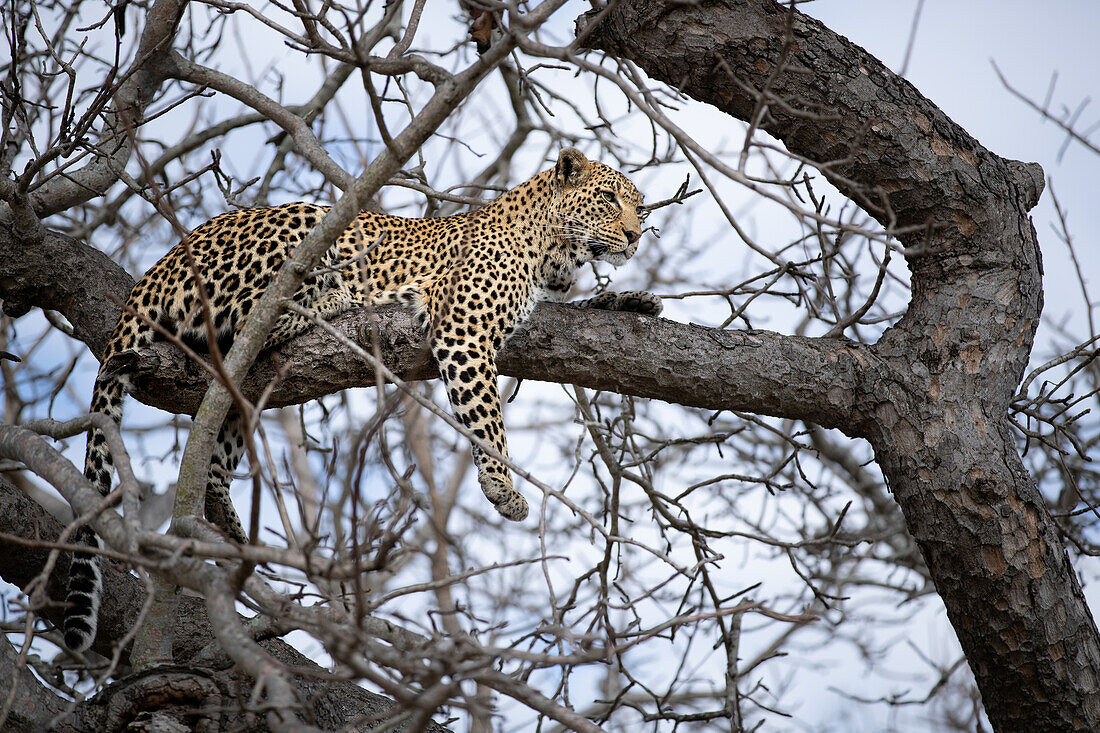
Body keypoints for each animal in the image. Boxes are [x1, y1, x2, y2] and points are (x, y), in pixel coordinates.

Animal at [66, 145, 660, 647]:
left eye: (640, 205)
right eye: (609, 200)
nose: (635, 237)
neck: (555, 254)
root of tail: (161, 264)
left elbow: (584, 306)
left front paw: (633, 301)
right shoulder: (465, 329)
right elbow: (487, 420)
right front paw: (503, 490)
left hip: (239, 390)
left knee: (213, 460)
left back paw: (243, 545)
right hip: (302, 231)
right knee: (263, 315)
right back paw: (340, 296)